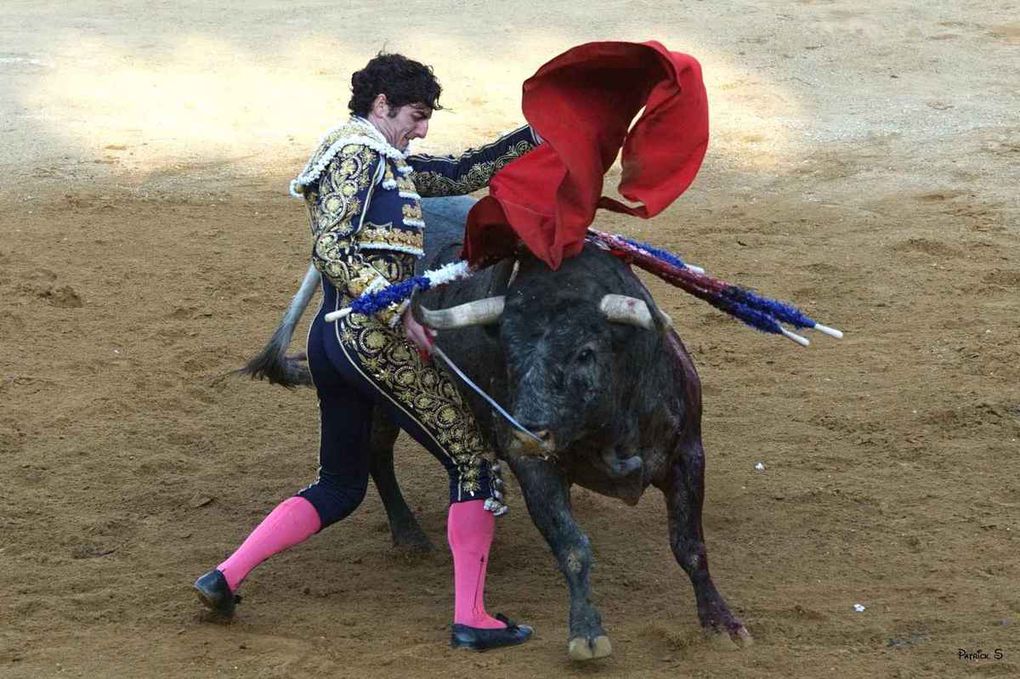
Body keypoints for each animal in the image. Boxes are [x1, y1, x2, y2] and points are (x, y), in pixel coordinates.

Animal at [245, 194, 754, 656]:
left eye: (585, 352)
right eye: (508, 351)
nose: (525, 433)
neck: (609, 424)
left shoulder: (688, 452)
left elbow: (689, 544)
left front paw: (723, 624)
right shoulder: (537, 469)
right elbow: (572, 545)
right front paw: (586, 633)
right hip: (377, 401)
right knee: (375, 457)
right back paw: (410, 536)